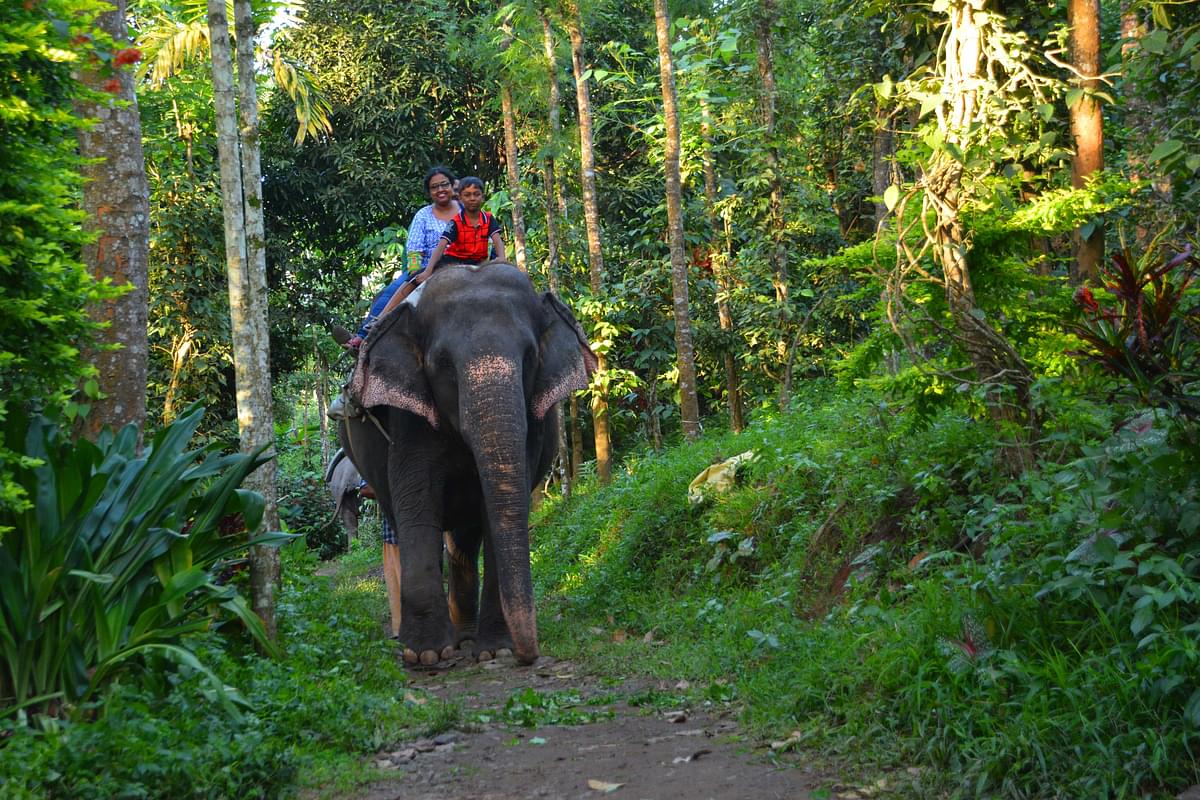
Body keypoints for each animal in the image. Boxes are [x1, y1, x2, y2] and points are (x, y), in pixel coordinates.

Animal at [338, 260, 595, 666]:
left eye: (529, 358)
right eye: (443, 364)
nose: (530, 655)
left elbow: (499, 508)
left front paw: (494, 650)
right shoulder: (407, 417)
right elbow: (418, 504)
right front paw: (426, 655)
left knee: (463, 540)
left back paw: (464, 638)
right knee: (402, 524)